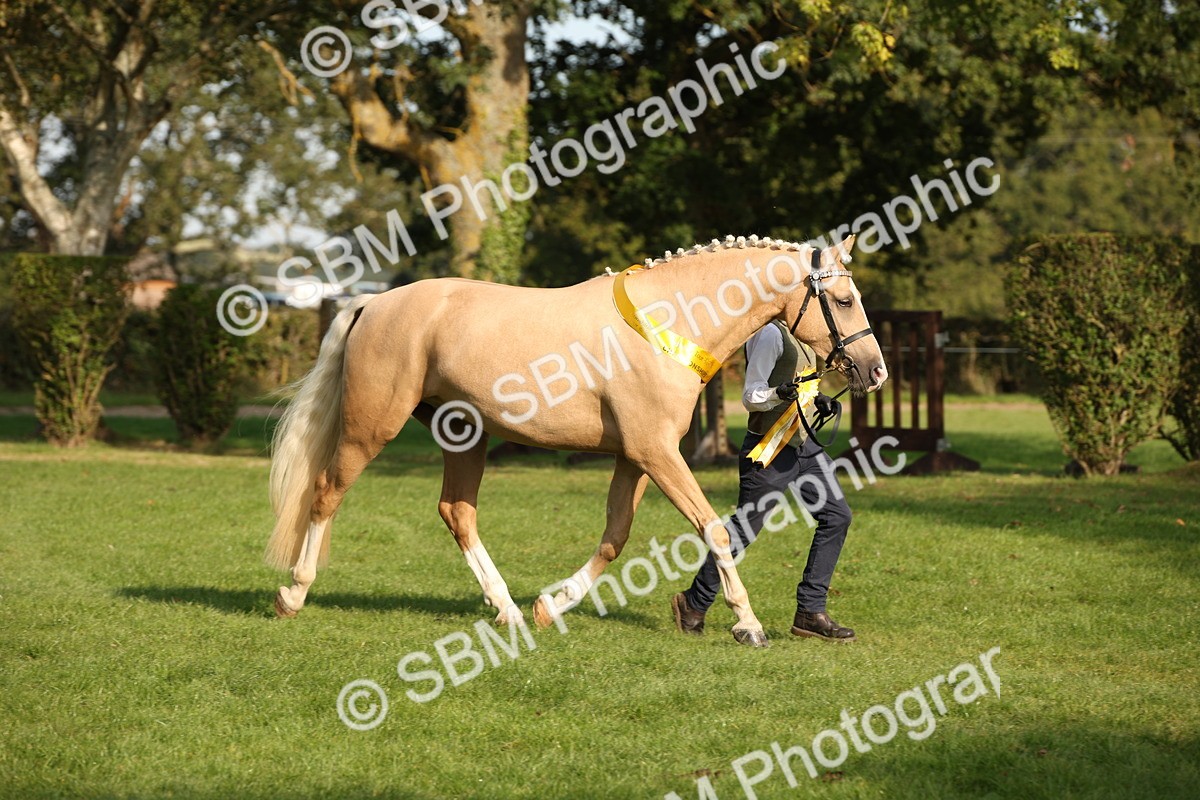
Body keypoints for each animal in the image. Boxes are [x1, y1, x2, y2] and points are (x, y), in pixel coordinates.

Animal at [266, 233, 887, 646]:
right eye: (845, 300)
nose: (874, 371)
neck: (672, 321)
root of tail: (373, 302)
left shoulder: (636, 458)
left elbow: (616, 536)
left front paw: (550, 605)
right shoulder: (657, 454)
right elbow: (712, 527)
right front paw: (748, 624)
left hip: (464, 435)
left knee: (456, 512)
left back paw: (509, 612)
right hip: (370, 427)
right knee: (326, 493)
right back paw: (293, 593)